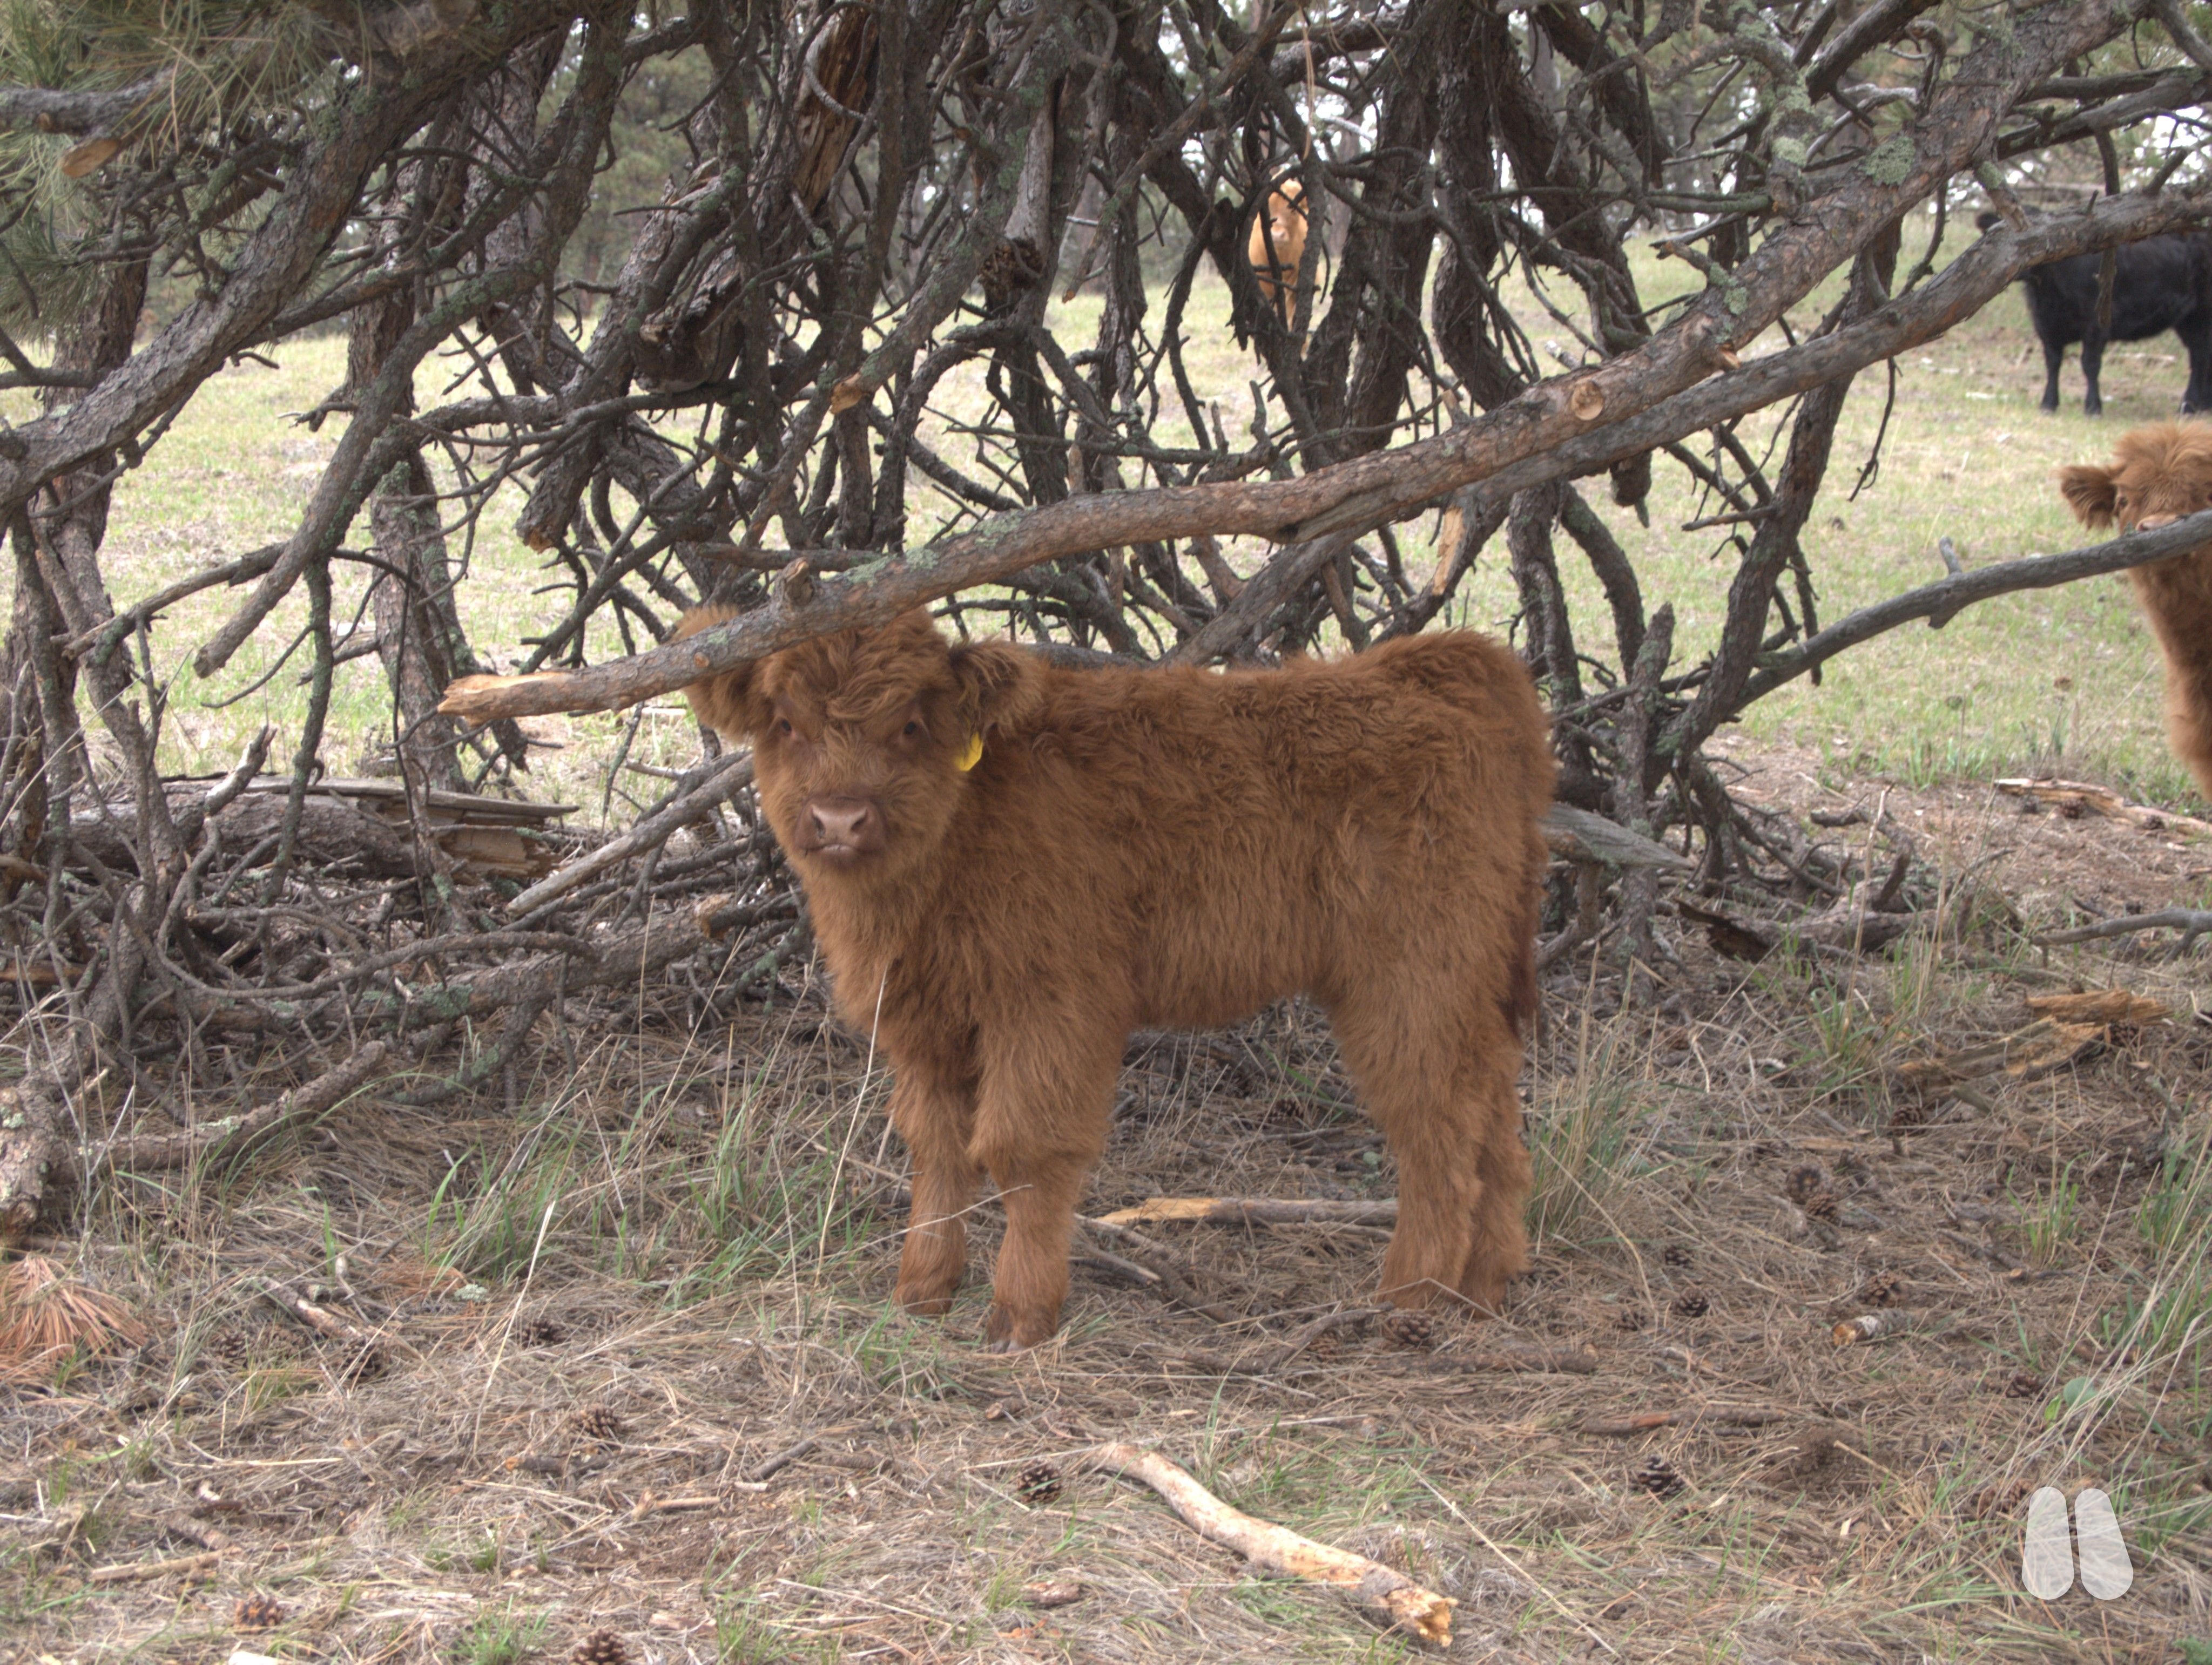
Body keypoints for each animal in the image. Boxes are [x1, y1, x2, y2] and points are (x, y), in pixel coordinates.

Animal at [675, 609, 1554, 1351]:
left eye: (911, 725)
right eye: (785, 723)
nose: (839, 818)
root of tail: (1421, 669)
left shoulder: (1049, 1002)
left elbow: (1021, 1150)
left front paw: (1019, 1317)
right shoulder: (927, 1019)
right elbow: (939, 1149)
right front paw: (921, 1293)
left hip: (1410, 978)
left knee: (1436, 1128)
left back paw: (1408, 1297)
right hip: (1467, 982)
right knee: (1495, 1122)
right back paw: (1484, 1287)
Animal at [1977, 211, 2212, 417]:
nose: (2019, 269)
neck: (2049, 294)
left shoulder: (2096, 323)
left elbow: (2090, 364)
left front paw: (2093, 407)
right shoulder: (2046, 325)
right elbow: (2053, 363)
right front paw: (2049, 404)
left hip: (2201, 312)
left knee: (2199, 356)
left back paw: (2189, 406)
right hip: (2188, 319)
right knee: (2202, 354)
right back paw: (2202, 405)